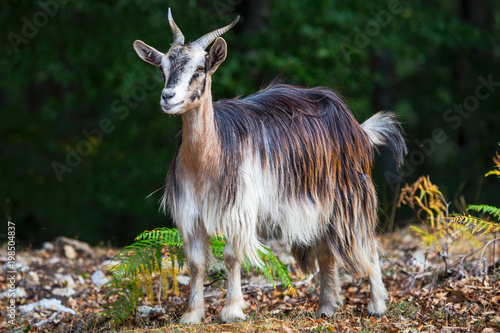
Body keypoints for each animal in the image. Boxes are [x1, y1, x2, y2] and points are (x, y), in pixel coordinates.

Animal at [133, 9, 406, 322]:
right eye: (163, 68)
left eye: (200, 69)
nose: (168, 97)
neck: (208, 160)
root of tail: (357, 128)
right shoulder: (191, 213)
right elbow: (196, 262)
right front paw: (192, 314)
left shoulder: (239, 208)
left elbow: (231, 256)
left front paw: (232, 310)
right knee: (326, 250)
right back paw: (326, 306)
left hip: (349, 194)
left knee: (367, 243)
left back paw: (376, 305)